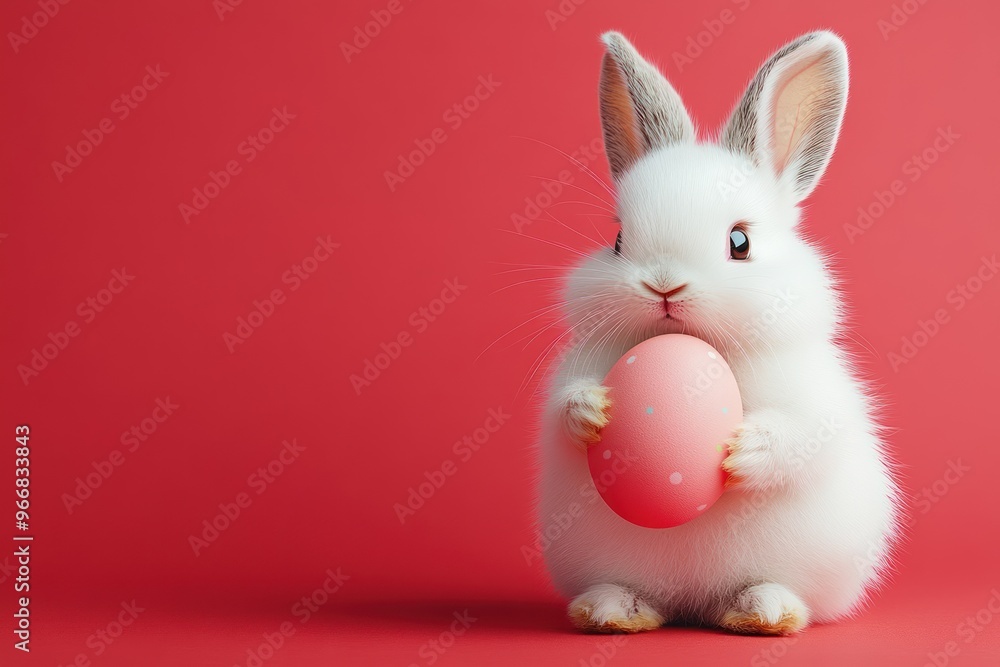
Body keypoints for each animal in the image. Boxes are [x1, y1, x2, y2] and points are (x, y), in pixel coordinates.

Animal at [536, 30, 900, 635]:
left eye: (740, 242)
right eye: (617, 241)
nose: (664, 284)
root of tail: (694, 603)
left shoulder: (818, 405)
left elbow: (801, 438)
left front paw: (742, 449)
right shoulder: (572, 372)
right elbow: (561, 412)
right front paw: (594, 411)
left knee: (774, 593)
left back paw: (763, 611)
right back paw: (612, 612)